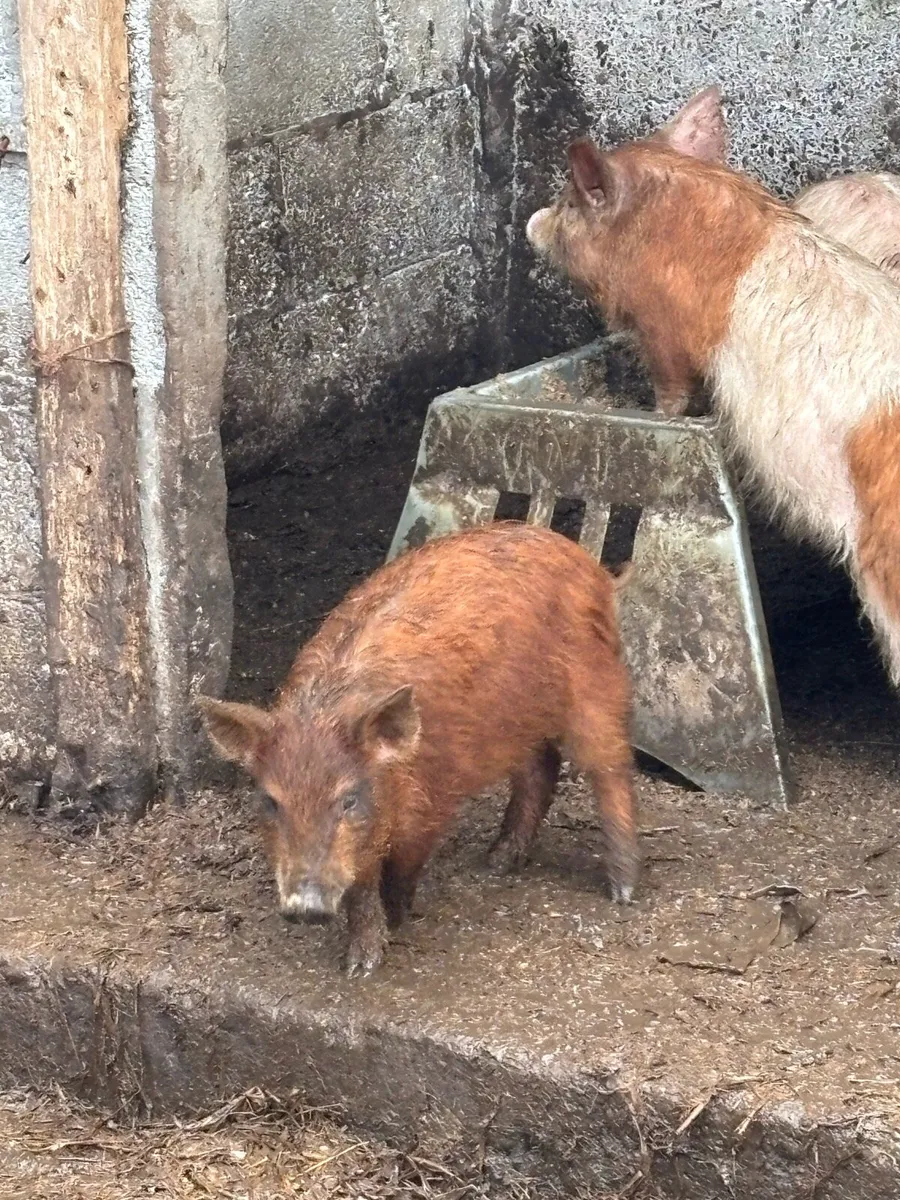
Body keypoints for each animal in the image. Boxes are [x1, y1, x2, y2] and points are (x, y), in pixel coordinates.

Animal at [199, 522, 638, 976]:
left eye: (349, 799)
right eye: (270, 801)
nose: (305, 908)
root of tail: (591, 565)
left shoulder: (433, 802)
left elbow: (402, 868)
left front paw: (396, 921)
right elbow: (360, 885)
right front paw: (360, 967)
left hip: (596, 687)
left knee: (612, 769)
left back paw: (622, 890)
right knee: (542, 767)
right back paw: (496, 862)